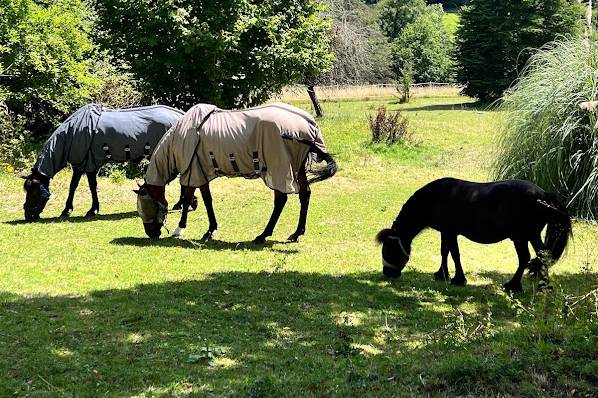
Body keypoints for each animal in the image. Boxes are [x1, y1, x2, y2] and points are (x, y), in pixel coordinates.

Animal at [22, 104, 196, 222]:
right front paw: (69, 209)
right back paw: (182, 203)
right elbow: (75, 186)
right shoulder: (81, 164)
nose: (28, 215)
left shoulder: (89, 164)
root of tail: (182, 114)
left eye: (33, 191)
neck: (73, 132)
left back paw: (182, 203)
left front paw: (90, 210)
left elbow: (90, 187)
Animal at [135, 102, 338, 243]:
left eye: (144, 206)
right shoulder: (201, 172)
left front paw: (180, 229)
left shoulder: (193, 172)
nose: (151, 234)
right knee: (304, 195)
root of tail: (308, 123)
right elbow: (206, 200)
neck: (183, 135)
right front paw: (210, 229)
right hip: (297, 167)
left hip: (279, 168)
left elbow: (187, 199)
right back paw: (296, 234)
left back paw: (263, 235)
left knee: (281, 199)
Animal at [378, 177, 576, 292]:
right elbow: (445, 252)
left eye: (388, 250)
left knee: (526, 257)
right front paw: (442, 275)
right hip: (531, 235)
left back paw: (513, 286)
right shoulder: (446, 232)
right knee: (542, 255)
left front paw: (458, 279)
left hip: (521, 236)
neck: (435, 198)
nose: (388, 273)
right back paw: (543, 285)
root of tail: (543, 194)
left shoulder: (451, 232)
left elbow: (454, 254)